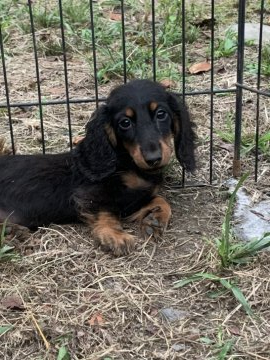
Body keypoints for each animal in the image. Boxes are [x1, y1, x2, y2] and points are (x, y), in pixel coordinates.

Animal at [0, 80, 195, 255]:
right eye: (125, 123)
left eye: (161, 114)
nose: (153, 159)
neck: (128, 164)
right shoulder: (89, 193)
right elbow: (104, 210)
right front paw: (114, 235)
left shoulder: (132, 200)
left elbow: (161, 200)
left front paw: (154, 219)